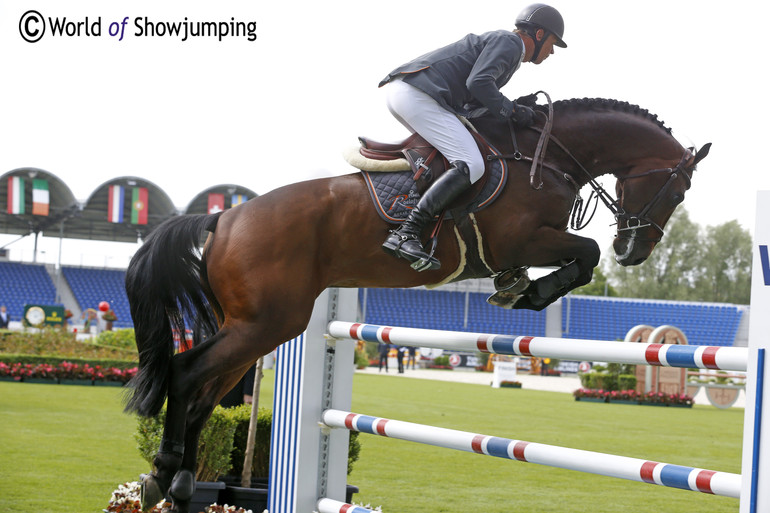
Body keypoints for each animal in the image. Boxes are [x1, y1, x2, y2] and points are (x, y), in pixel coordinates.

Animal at [124, 97, 708, 512]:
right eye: (678, 191)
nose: (633, 252)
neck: (544, 156)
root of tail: (224, 217)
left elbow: (580, 258)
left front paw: (519, 288)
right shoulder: (525, 239)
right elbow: (584, 254)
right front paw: (533, 292)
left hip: (256, 326)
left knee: (204, 394)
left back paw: (177, 484)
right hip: (265, 323)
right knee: (185, 371)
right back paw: (165, 472)